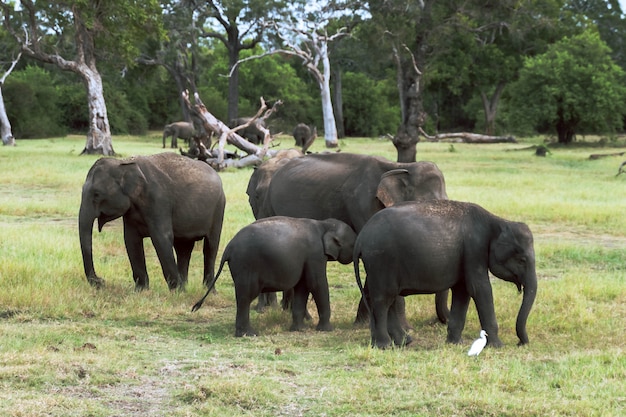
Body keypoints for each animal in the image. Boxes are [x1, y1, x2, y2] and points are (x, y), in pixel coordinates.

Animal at [77, 151, 224, 290]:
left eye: (97, 194)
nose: (101, 281)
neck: (123, 162)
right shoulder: (131, 211)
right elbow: (131, 240)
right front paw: (141, 290)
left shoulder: (158, 201)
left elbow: (161, 238)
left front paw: (177, 291)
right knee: (183, 248)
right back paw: (185, 285)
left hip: (219, 209)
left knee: (211, 247)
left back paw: (209, 290)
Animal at [190, 216, 356, 336]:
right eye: (353, 244)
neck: (324, 224)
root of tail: (228, 248)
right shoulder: (315, 255)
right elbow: (316, 284)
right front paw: (327, 330)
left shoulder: (307, 259)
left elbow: (302, 286)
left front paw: (299, 329)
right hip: (246, 265)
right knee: (245, 297)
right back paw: (249, 334)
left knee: (242, 297)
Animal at [352, 200, 536, 350]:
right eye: (522, 260)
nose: (520, 343)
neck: (497, 220)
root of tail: (361, 238)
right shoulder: (474, 250)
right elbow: (479, 289)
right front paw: (498, 346)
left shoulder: (467, 256)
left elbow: (463, 291)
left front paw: (455, 343)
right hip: (382, 261)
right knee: (383, 300)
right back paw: (384, 346)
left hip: (380, 265)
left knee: (389, 299)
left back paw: (404, 342)